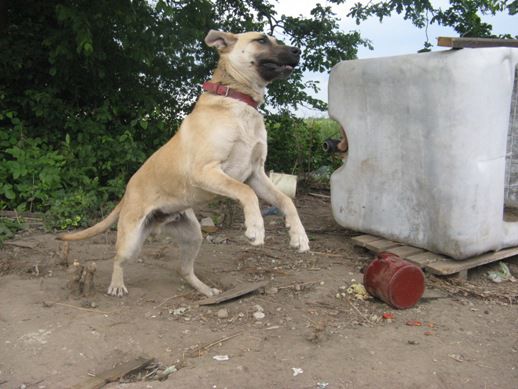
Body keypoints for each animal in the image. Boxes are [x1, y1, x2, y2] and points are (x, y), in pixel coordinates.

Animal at [58, 30, 308, 298]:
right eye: (261, 40)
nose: (297, 51)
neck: (237, 101)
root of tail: (127, 191)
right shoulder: (207, 171)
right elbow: (246, 193)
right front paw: (255, 227)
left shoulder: (257, 174)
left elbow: (286, 201)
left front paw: (299, 235)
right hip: (131, 240)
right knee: (118, 259)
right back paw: (116, 285)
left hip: (193, 236)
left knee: (184, 270)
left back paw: (206, 290)